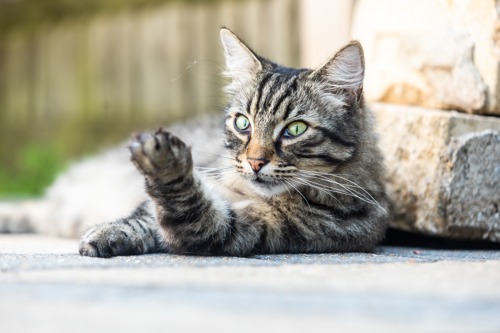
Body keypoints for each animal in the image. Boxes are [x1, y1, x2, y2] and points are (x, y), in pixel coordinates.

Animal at [78, 28, 390, 256]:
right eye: (242, 123)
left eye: (295, 129)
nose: (255, 162)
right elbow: (144, 216)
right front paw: (107, 232)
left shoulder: (241, 229)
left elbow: (188, 207)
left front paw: (164, 162)